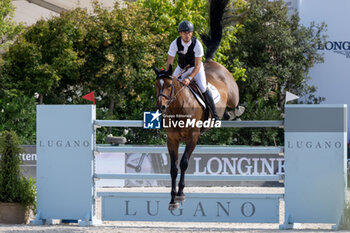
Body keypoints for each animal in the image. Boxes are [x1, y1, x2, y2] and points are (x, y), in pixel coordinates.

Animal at [154, 0, 242, 211]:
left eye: (169, 85)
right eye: (156, 85)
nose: (161, 107)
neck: (178, 108)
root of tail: (209, 61)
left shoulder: (193, 137)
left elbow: (184, 164)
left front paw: (180, 195)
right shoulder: (172, 139)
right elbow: (173, 168)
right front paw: (172, 200)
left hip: (230, 90)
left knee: (235, 103)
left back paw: (234, 113)